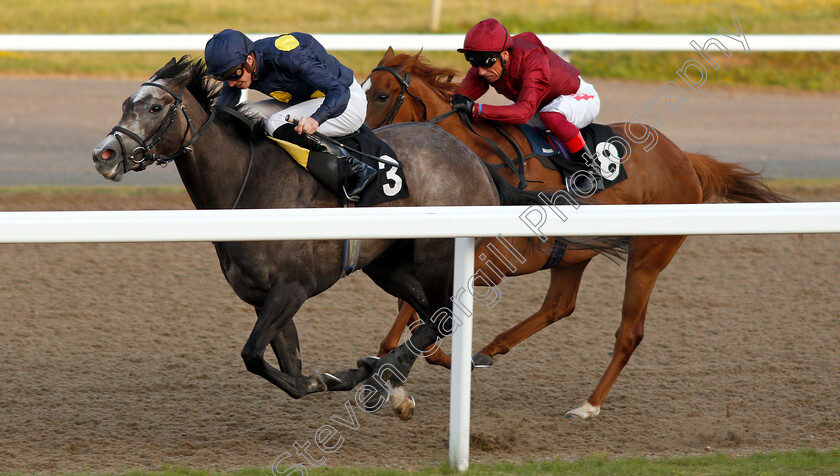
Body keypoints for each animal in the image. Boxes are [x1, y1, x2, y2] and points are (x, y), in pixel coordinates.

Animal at [362, 49, 788, 420]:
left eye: (382, 95)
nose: (362, 143)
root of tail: (683, 157)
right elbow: (411, 318)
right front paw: (405, 381)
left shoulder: (485, 264)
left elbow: (418, 320)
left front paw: (403, 382)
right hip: (572, 256)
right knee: (559, 306)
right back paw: (489, 351)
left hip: (648, 256)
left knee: (629, 332)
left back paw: (588, 406)